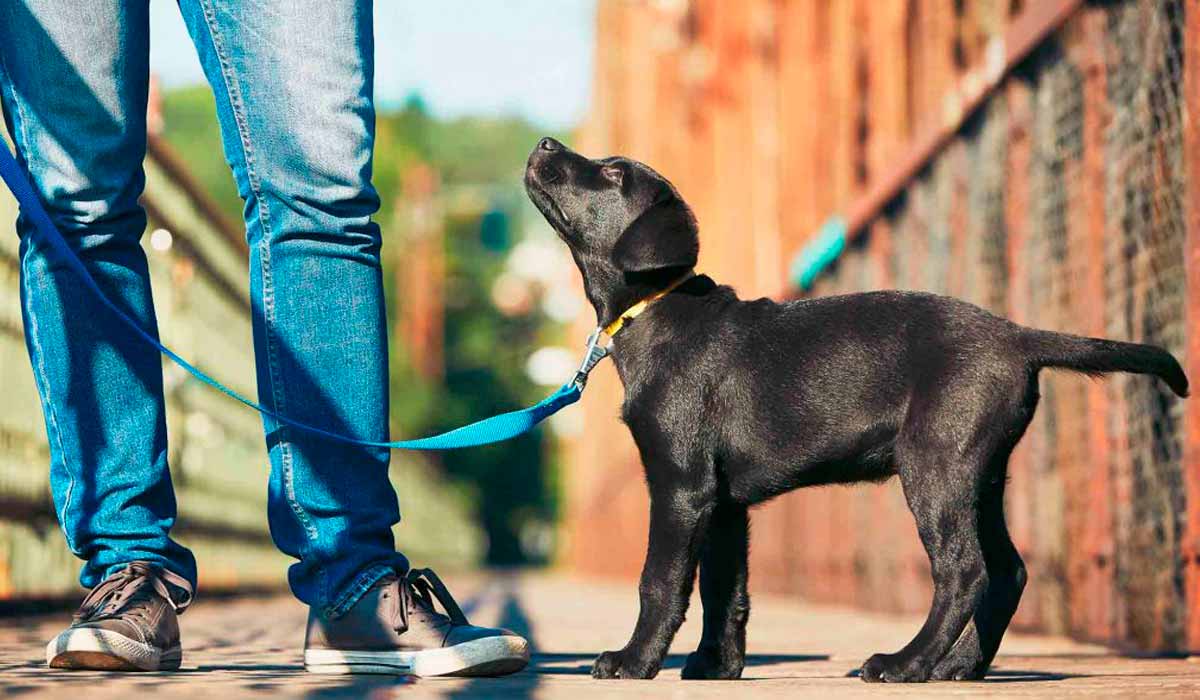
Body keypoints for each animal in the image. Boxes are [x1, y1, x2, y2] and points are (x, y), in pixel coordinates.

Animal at [525, 136, 1190, 686]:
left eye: (612, 172)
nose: (545, 142)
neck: (656, 310)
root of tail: (1018, 336)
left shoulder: (681, 485)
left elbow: (660, 581)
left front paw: (634, 661)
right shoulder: (724, 503)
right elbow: (724, 590)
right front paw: (716, 665)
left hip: (934, 465)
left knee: (964, 571)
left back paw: (905, 664)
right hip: (981, 474)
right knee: (1008, 572)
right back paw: (959, 667)